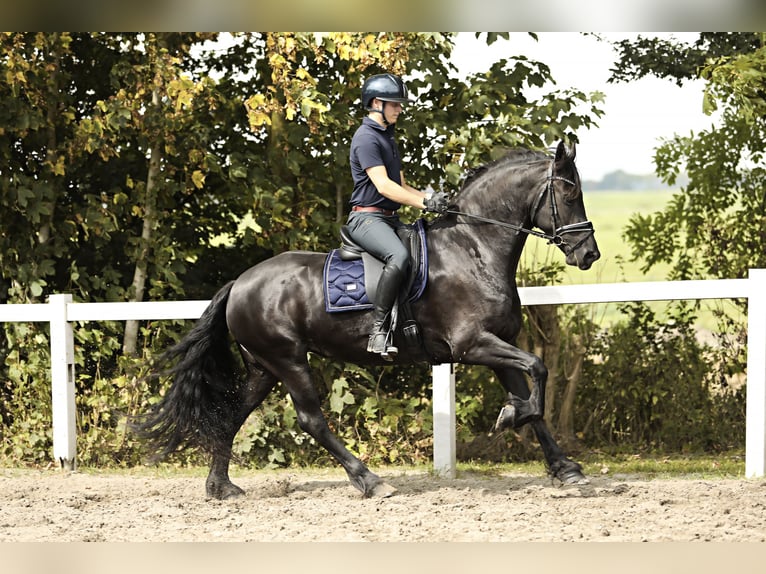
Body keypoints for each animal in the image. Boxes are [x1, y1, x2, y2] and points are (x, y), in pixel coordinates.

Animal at [136, 140, 600, 500]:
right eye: (569, 194)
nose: (589, 254)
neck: (474, 247)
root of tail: (240, 282)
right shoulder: (473, 344)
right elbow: (538, 371)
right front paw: (510, 418)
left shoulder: (500, 343)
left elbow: (534, 399)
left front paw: (564, 467)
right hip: (288, 360)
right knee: (311, 421)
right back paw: (370, 481)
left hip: (263, 368)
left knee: (232, 414)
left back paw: (220, 487)